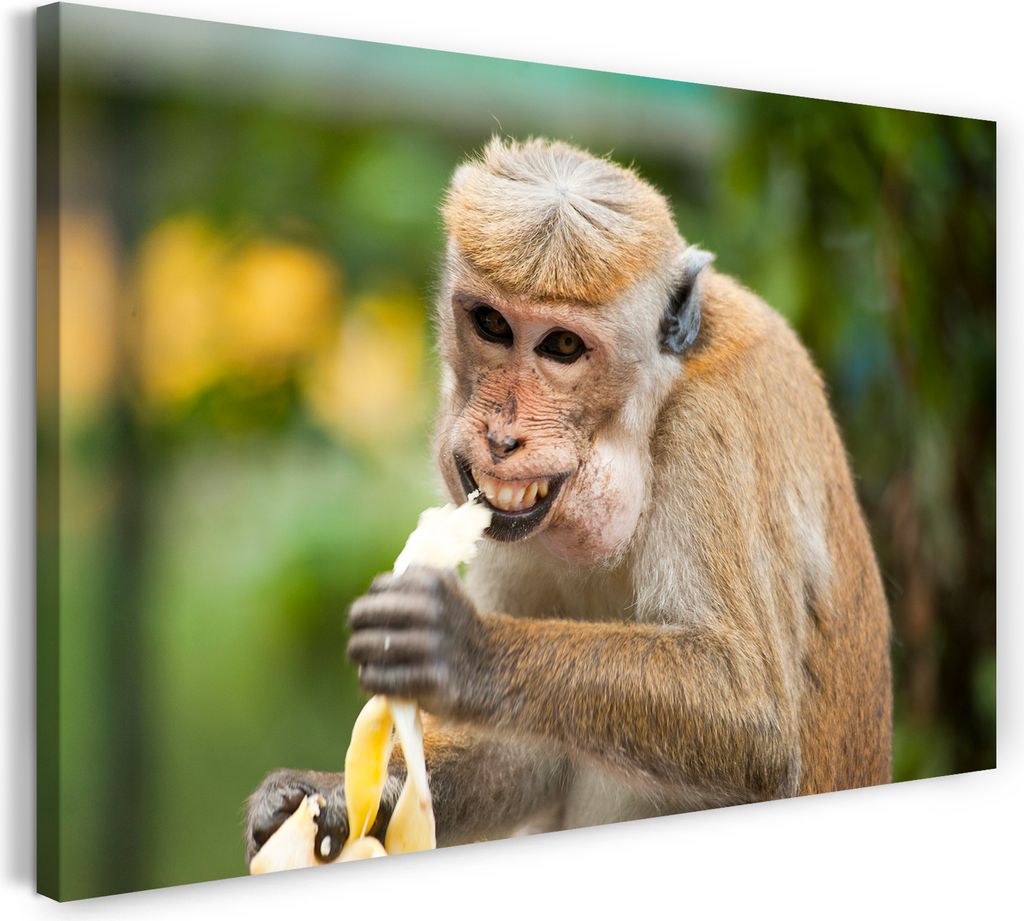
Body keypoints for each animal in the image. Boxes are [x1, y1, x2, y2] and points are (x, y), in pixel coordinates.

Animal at [245, 137, 892, 863]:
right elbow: (526, 752)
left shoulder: (711, 431)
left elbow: (755, 715)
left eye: (562, 345)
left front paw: (465, 649)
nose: (502, 436)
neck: (652, 406)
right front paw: (326, 795)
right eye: (492, 324)